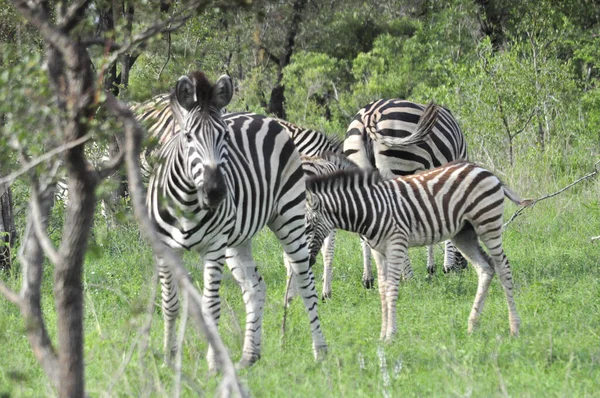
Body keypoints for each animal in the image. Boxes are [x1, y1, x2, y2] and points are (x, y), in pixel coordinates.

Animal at [148, 70, 330, 370]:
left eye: (224, 136)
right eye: (188, 137)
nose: (216, 192)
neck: (188, 202)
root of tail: (264, 116)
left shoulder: (213, 248)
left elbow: (210, 306)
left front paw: (213, 364)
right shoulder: (164, 249)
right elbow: (170, 305)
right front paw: (168, 361)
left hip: (289, 217)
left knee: (305, 282)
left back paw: (320, 352)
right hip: (237, 240)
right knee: (256, 287)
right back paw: (249, 355)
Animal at [302, 157, 528, 340]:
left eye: (309, 226)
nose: (308, 261)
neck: (370, 210)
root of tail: (483, 169)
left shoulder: (396, 243)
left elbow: (392, 288)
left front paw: (391, 336)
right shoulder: (378, 251)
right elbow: (382, 290)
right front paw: (382, 334)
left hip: (487, 223)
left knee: (503, 267)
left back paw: (514, 328)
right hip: (464, 233)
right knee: (486, 268)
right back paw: (472, 326)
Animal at [342, 99, 468, 286]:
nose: (465, 267)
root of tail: (370, 115)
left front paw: (432, 267)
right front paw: (448, 266)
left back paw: (370, 279)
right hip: (399, 167)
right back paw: (408, 279)